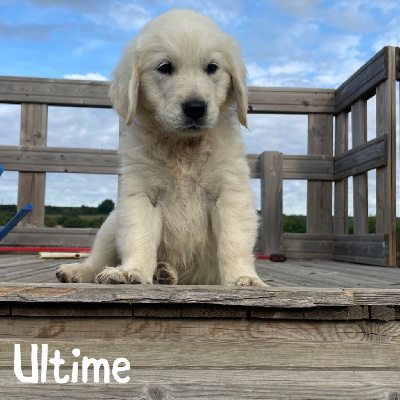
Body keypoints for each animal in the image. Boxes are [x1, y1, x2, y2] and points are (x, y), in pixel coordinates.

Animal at [55, 7, 266, 286]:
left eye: (212, 68)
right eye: (164, 67)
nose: (195, 108)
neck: (183, 147)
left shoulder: (229, 193)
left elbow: (233, 242)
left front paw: (243, 277)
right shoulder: (142, 195)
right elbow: (139, 236)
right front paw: (131, 271)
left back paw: (165, 272)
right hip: (111, 224)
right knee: (98, 258)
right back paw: (80, 271)